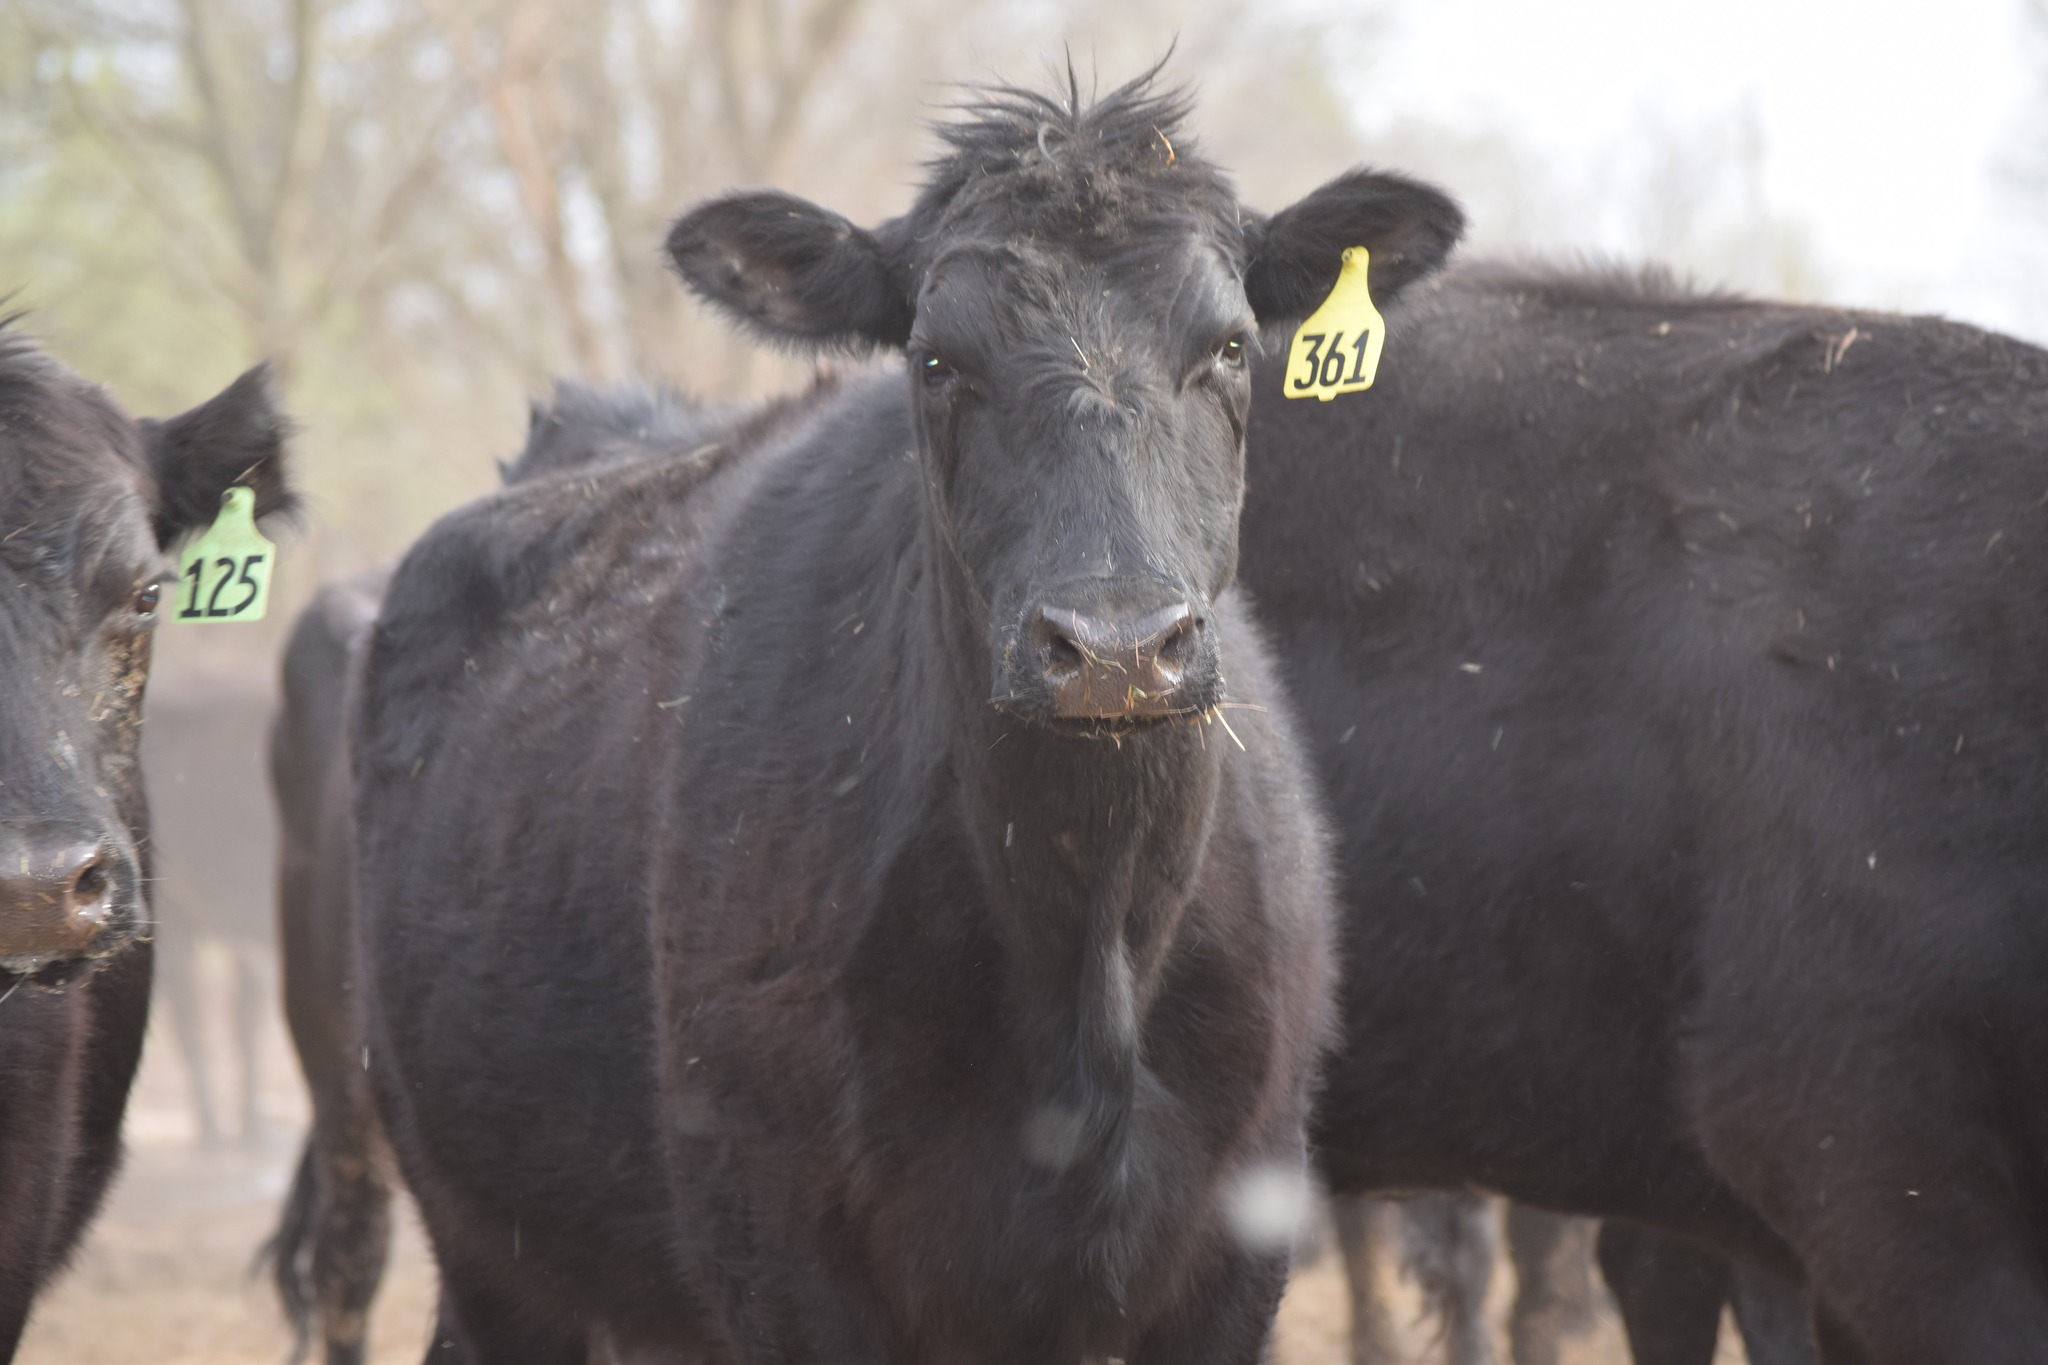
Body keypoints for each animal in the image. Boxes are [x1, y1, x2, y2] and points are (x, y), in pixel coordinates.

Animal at [356, 77, 1458, 1365]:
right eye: (937, 361)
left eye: (1230, 346)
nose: (1116, 647)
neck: (1084, 949)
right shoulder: (777, 1248)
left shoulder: (1235, 1252)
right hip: (484, 1237)